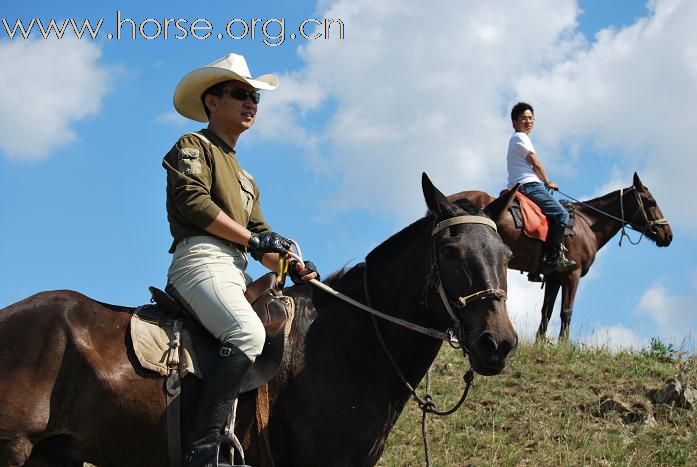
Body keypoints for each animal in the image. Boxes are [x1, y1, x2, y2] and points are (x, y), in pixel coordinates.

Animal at [448, 173, 672, 344]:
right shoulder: (572, 275)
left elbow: (546, 310)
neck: (587, 225)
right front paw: (563, 344)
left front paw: (540, 342)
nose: (668, 235)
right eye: (651, 202)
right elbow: (566, 311)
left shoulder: (554, 277)